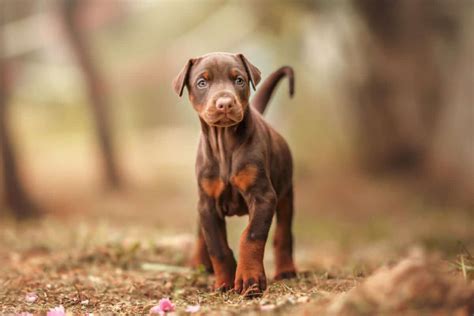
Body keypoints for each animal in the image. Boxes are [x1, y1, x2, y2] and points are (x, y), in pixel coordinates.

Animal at [171, 51, 296, 296]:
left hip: (286, 193)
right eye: (202, 82)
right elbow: (217, 246)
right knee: (201, 235)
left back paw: (286, 269)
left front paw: (250, 279)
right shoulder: (207, 203)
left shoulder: (263, 196)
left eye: (239, 80)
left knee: (284, 234)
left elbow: (252, 236)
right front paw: (223, 282)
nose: (225, 103)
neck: (225, 143)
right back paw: (199, 263)